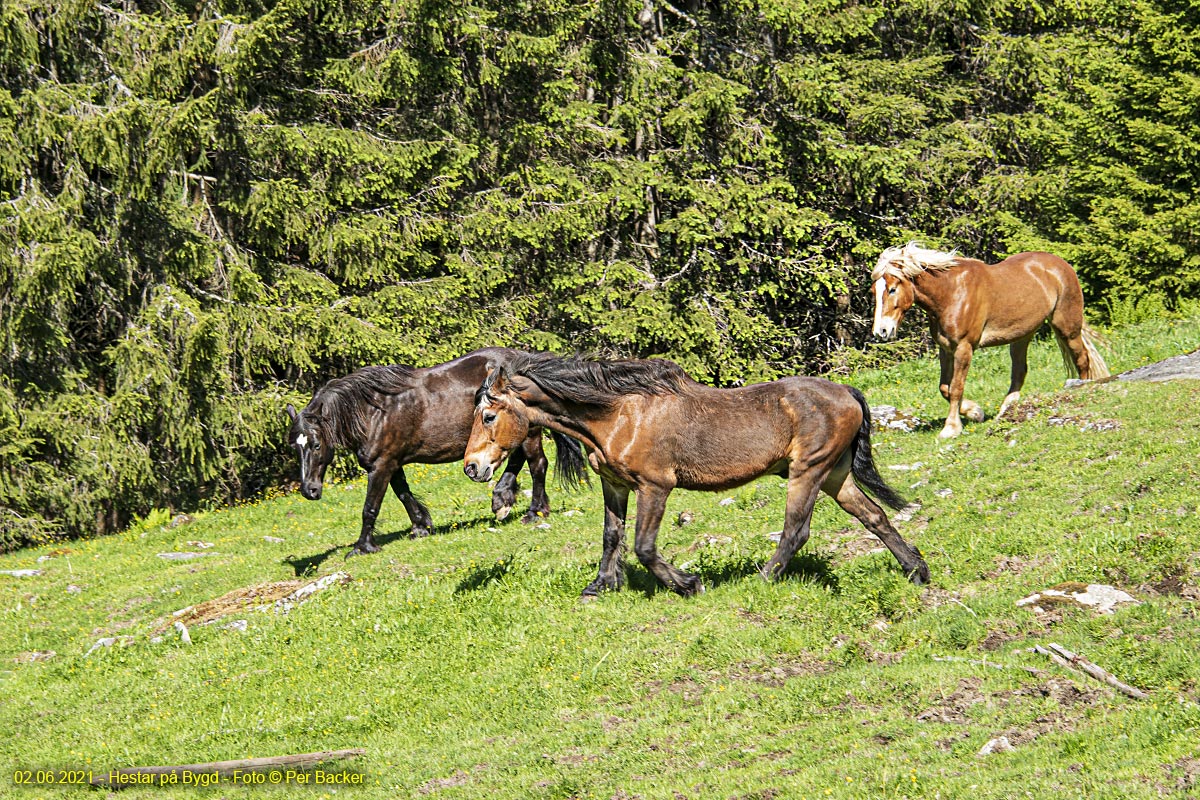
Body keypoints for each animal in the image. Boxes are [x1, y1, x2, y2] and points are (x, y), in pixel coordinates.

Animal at [285, 347, 585, 561]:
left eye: (315, 444)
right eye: (295, 447)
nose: (309, 490)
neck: (373, 412)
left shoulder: (381, 465)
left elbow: (370, 507)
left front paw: (362, 547)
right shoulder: (393, 463)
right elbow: (404, 494)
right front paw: (421, 526)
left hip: (528, 431)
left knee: (537, 464)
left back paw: (535, 511)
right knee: (516, 460)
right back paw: (503, 499)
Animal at [458, 352, 926, 597]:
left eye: (488, 415)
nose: (472, 467)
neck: (618, 415)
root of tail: (846, 392)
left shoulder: (655, 486)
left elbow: (644, 546)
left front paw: (688, 584)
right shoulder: (616, 485)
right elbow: (612, 536)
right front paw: (601, 585)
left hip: (807, 472)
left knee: (796, 530)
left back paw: (762, 579)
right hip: (835, 475)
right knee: (875, 517)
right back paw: (917, 570)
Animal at [868, 242, 1108, 438]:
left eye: (892, 289)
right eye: (874, 291)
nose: (881, 331)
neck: (951, 293)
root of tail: (1062, 265)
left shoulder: (964, 348)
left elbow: (956, 387)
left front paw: (951, 428)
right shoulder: (946, 349)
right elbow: (945, 387)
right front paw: (975, 412)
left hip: (1066, 327)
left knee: (1082, 360)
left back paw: (1080, 388)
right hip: (1022, 336)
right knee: (1020, 371)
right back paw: (1006, 410)